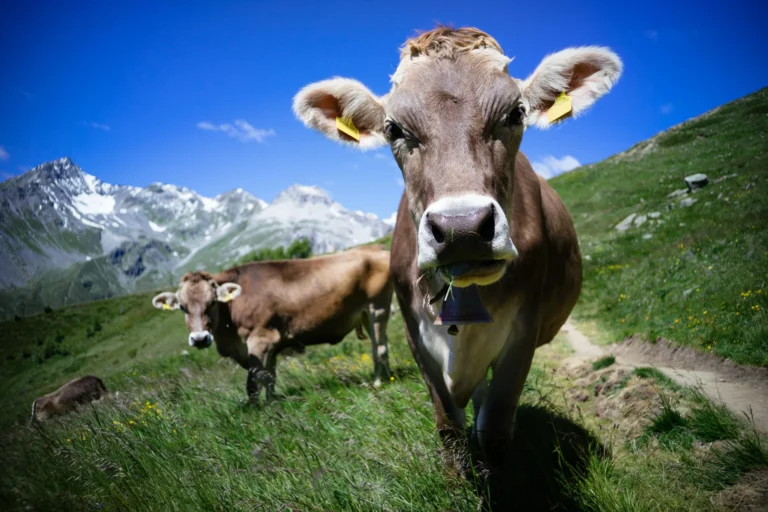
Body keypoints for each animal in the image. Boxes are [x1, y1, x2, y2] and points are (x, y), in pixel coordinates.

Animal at [152, 244, 394, 402]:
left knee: (379, 348)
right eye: (182, 307)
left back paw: (378, 382)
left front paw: (257, 410)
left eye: (212, 303)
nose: (200, 338)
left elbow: (254, 382)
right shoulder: (269, 347)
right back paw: (387, 376)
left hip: (378, 307)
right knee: (381, 345)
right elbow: (270, 377)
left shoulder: (262, 340)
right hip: (366, 314)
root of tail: (376, 248)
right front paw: (272, 401)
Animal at [292, 25, 621, 507]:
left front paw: (497, 487)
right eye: (394, 128)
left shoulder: (523, 331)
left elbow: (496, 427)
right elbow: (448, 423)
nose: (462, 229)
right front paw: (456, 484)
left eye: (515, 112)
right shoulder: (414, 333)